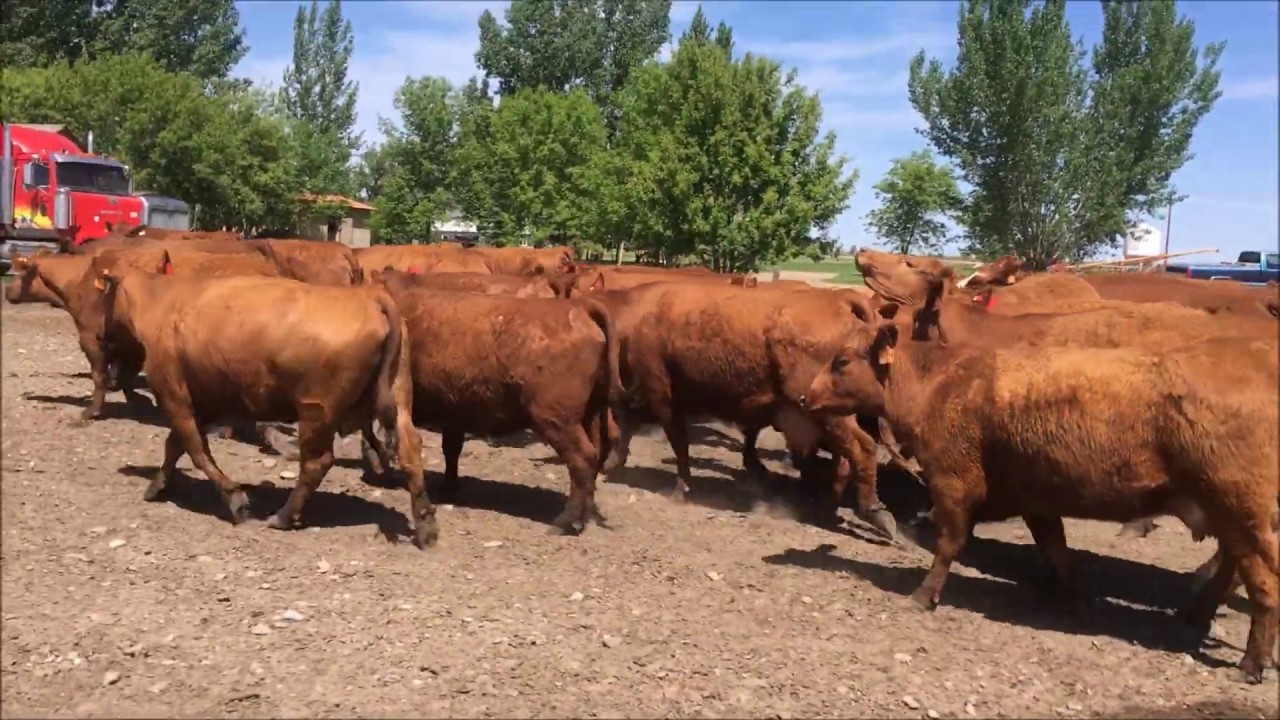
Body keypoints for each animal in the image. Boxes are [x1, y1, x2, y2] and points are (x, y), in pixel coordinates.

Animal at [96, 268, 438, 548]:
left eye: (104, 297)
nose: (100, 336)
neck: (163, 304)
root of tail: (369, 297)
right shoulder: (202, 401)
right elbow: (175, 446)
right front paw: (157, 485)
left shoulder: (174, 395)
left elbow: (194, 448)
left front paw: (235, 499)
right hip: (398, 396)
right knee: (410, 450)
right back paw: (426, 526)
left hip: (315, 410)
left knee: (316, 463)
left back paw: (284, 517)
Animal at [374, 268, 623, 535]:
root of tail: (581, 307)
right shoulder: (455, 411)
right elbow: (451, 450)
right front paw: (449, 488)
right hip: (590, 415)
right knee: (595, 455)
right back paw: (587, 513)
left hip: (557, 420)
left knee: (582, 459)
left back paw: (566, 522)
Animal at [799, 314, 1279, 684]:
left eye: (841, 361)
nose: (805, 396)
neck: (943, 383)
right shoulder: (1036, 499)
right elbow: (1056, 551)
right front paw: (1073, 600)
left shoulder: (954, 485)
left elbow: (949, 546)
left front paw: (924, 595)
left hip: (1241, 514)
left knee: (1264, 585)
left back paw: (1251, 663)